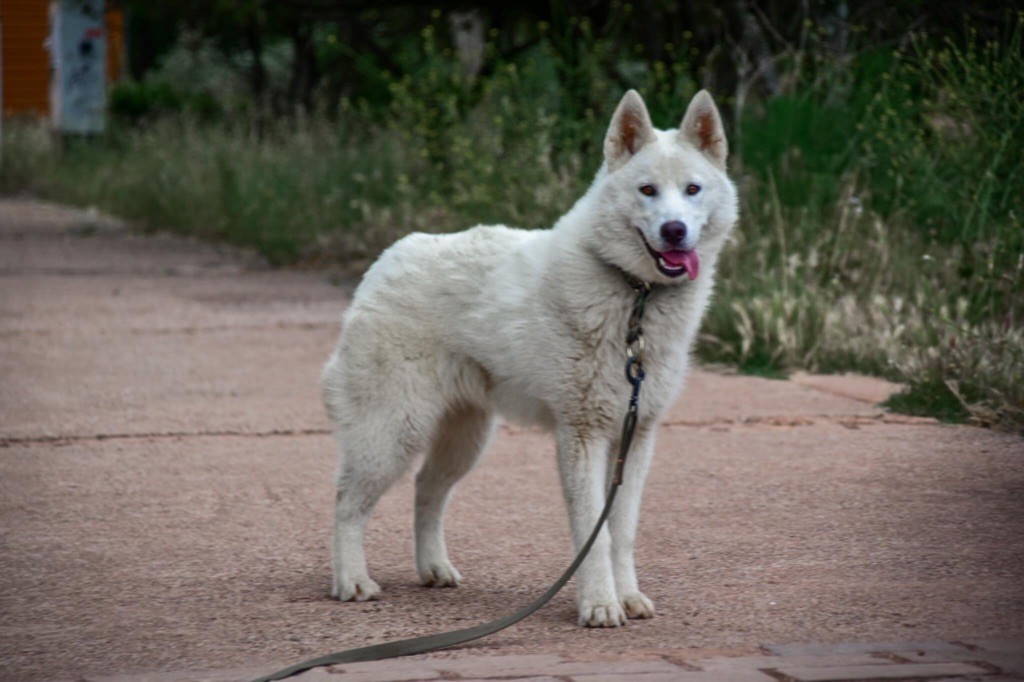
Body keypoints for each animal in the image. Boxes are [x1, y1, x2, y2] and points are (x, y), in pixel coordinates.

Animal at [319, 87, 737, 622]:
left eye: (692, 189)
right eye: (647, 190)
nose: (674, 230)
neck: (635, 296)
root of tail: (389, 258)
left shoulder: (636, 437)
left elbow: (622, 534)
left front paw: (627, 597)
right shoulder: (581, 436)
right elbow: (594, 536)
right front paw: (600, 606)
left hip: (464, 440)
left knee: (426, 492)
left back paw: (434, 569)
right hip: (392, 433)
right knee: (346, 501)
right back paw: (351, 581)